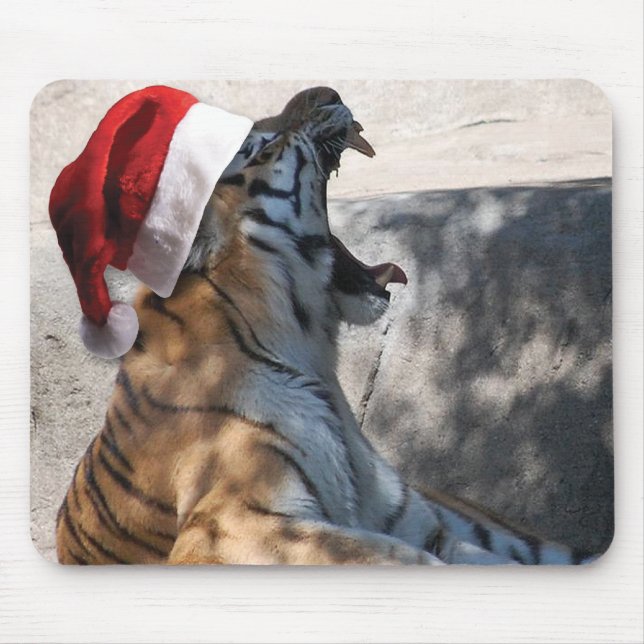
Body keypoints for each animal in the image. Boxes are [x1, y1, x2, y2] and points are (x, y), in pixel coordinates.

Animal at [55, 87, 594, 565]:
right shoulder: (225, 526)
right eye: (263, 145)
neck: (309, 352)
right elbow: (393, 558)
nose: (328, 92)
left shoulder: (423, 526)